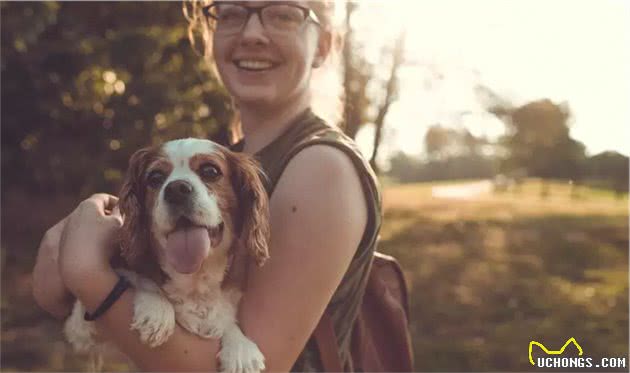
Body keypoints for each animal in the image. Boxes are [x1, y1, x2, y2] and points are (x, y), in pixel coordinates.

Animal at [65, 138, 272, 370]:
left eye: (210, 171)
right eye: (155, 177)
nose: (177, 189)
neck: (193, 281)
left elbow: (225, 319)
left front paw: (240, 348)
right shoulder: (81, 329)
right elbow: (137, 277)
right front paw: (157, 309)